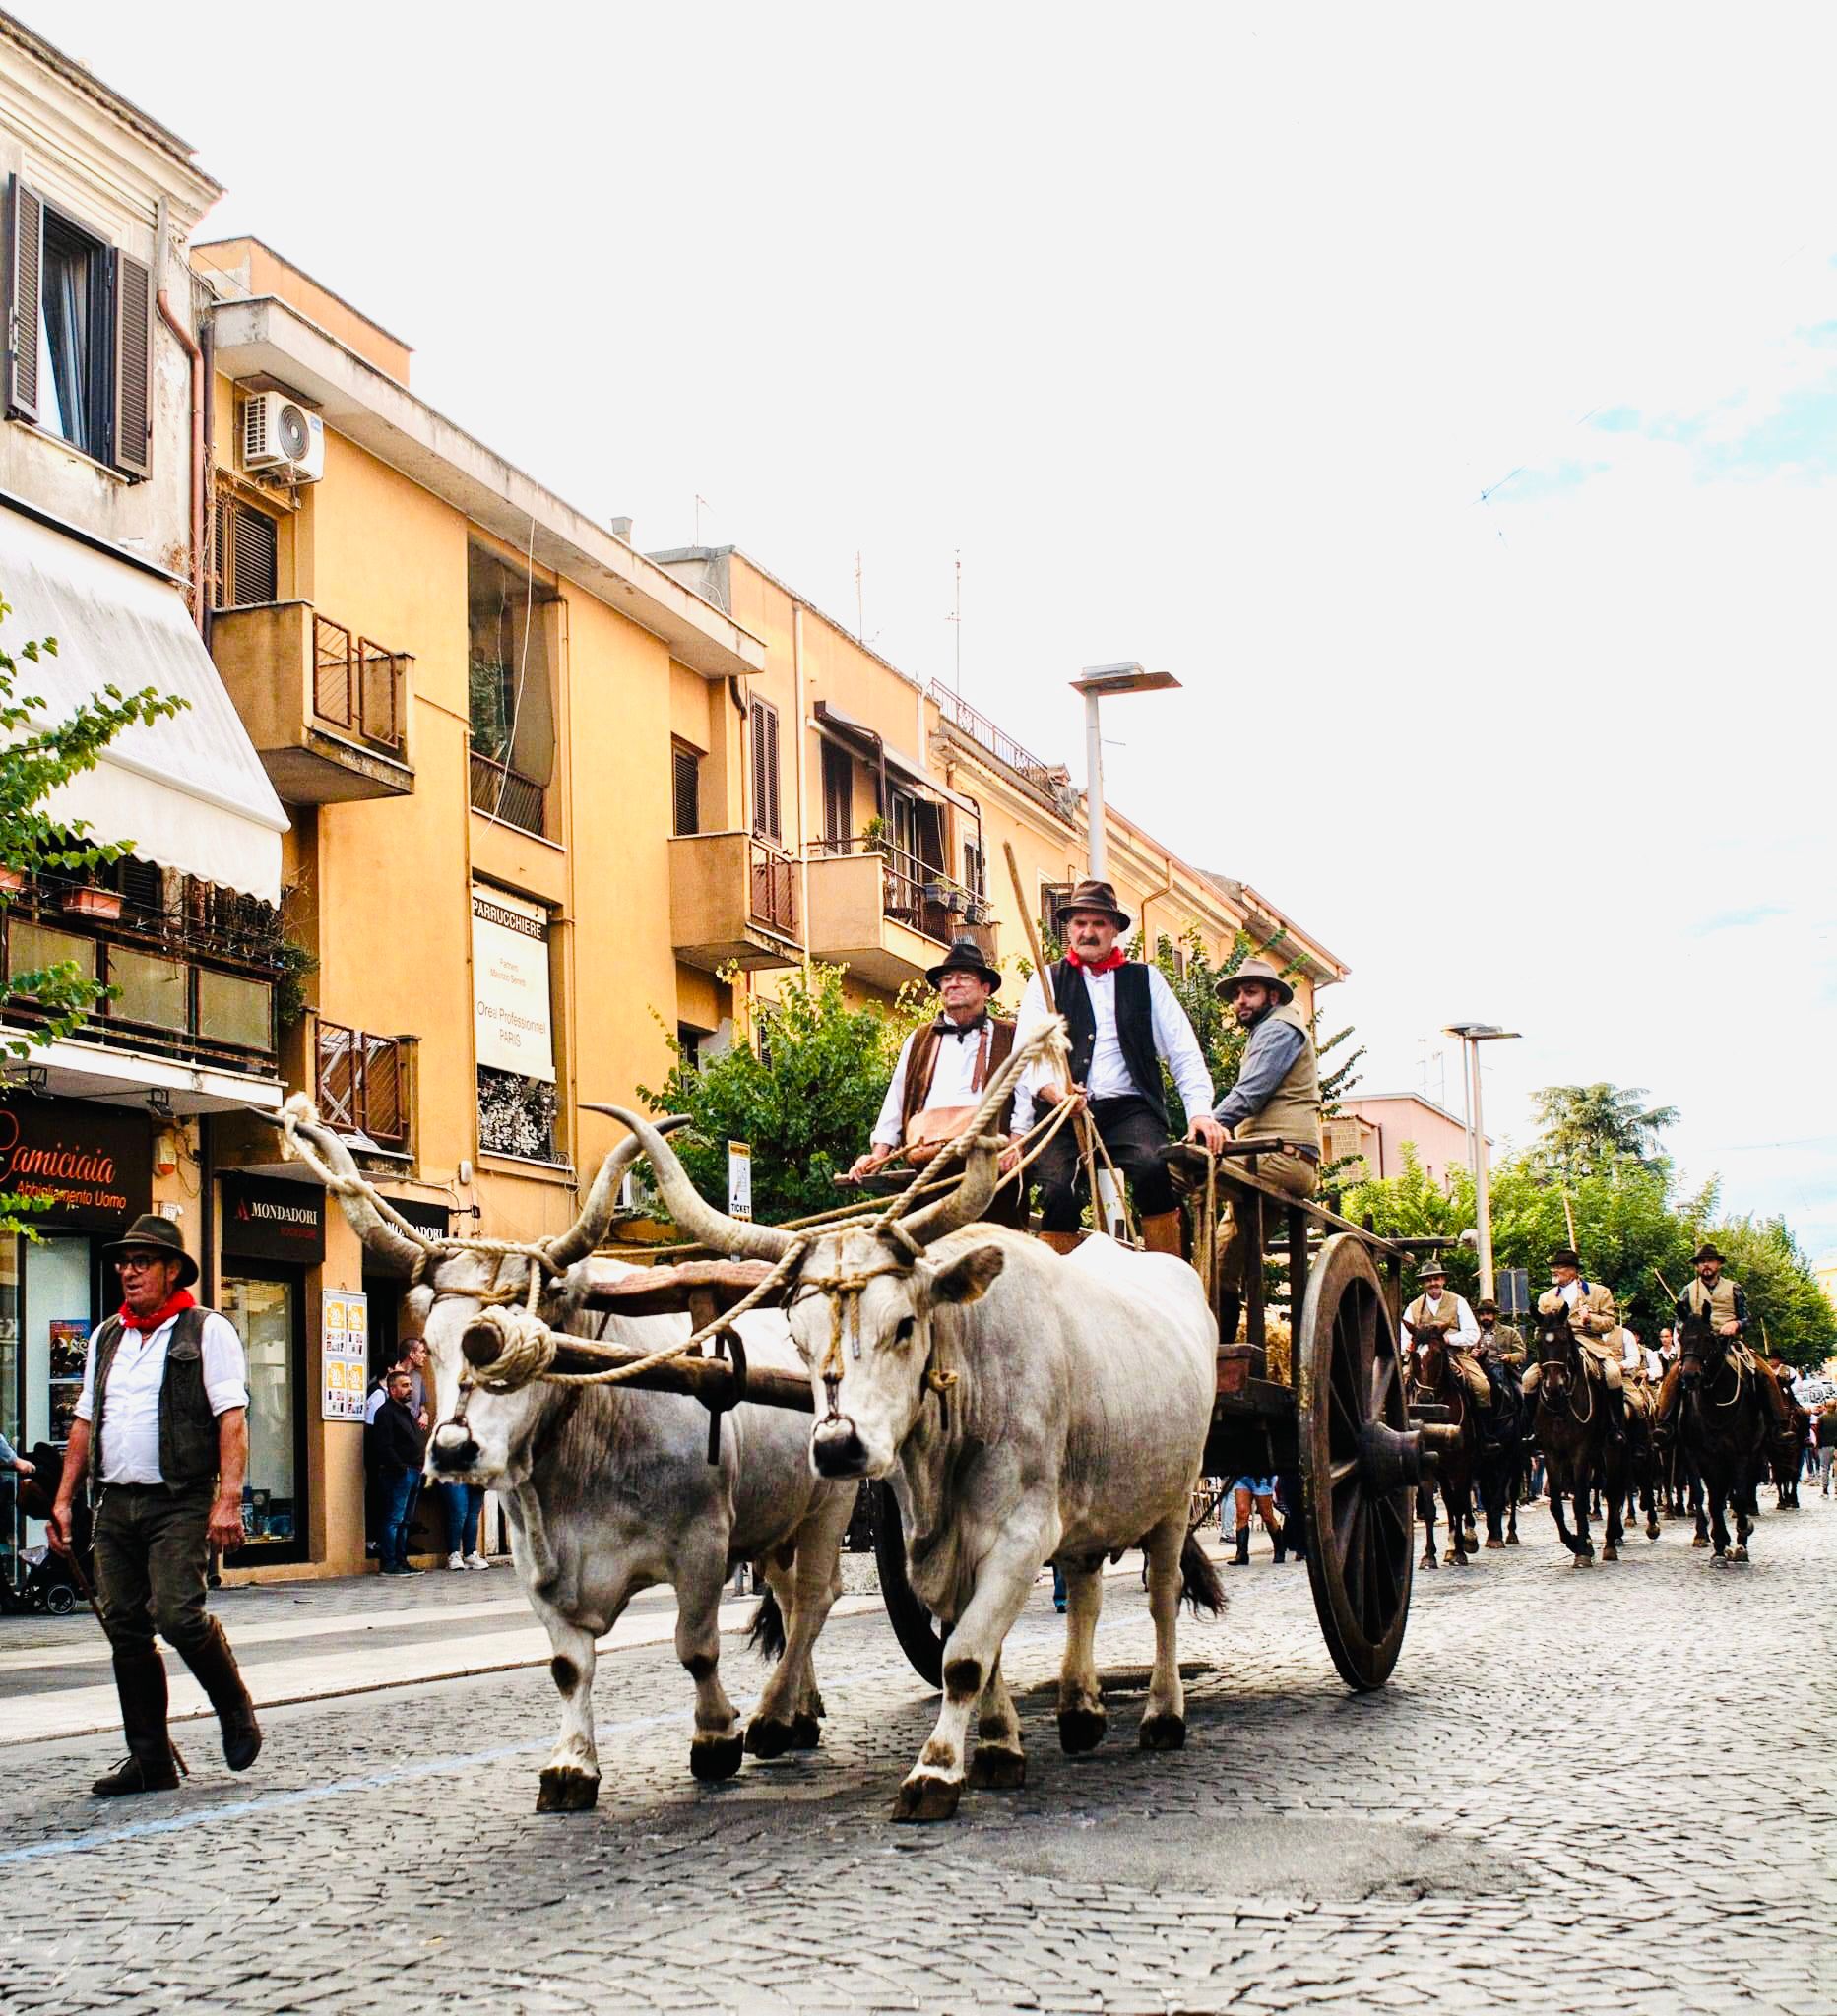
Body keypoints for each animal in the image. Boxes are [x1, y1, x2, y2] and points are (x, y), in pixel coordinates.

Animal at [1524, 1297, 1620, 1564]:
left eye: (1564, 1341)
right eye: (1539, 1341)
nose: (1552, 1387)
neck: (1561, 1406)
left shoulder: (1580, 1452)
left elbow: (1579, 1499)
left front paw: (1583, 1549)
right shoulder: (1552, 1454)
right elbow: (1557, 1503)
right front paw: (1574, 1541)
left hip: (1609, 1450)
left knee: (1611, 1493)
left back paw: (1610, 1543)